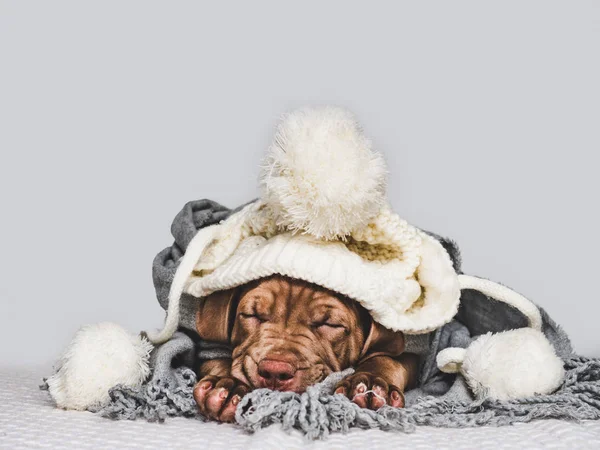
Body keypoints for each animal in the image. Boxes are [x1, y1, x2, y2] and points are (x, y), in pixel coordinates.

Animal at [192, 274, 418, 422]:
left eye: (329, 324)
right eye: (251, 315)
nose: (275, 371)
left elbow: (386, 359)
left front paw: (371, 383)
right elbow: (216, 357)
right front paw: (228, 387)